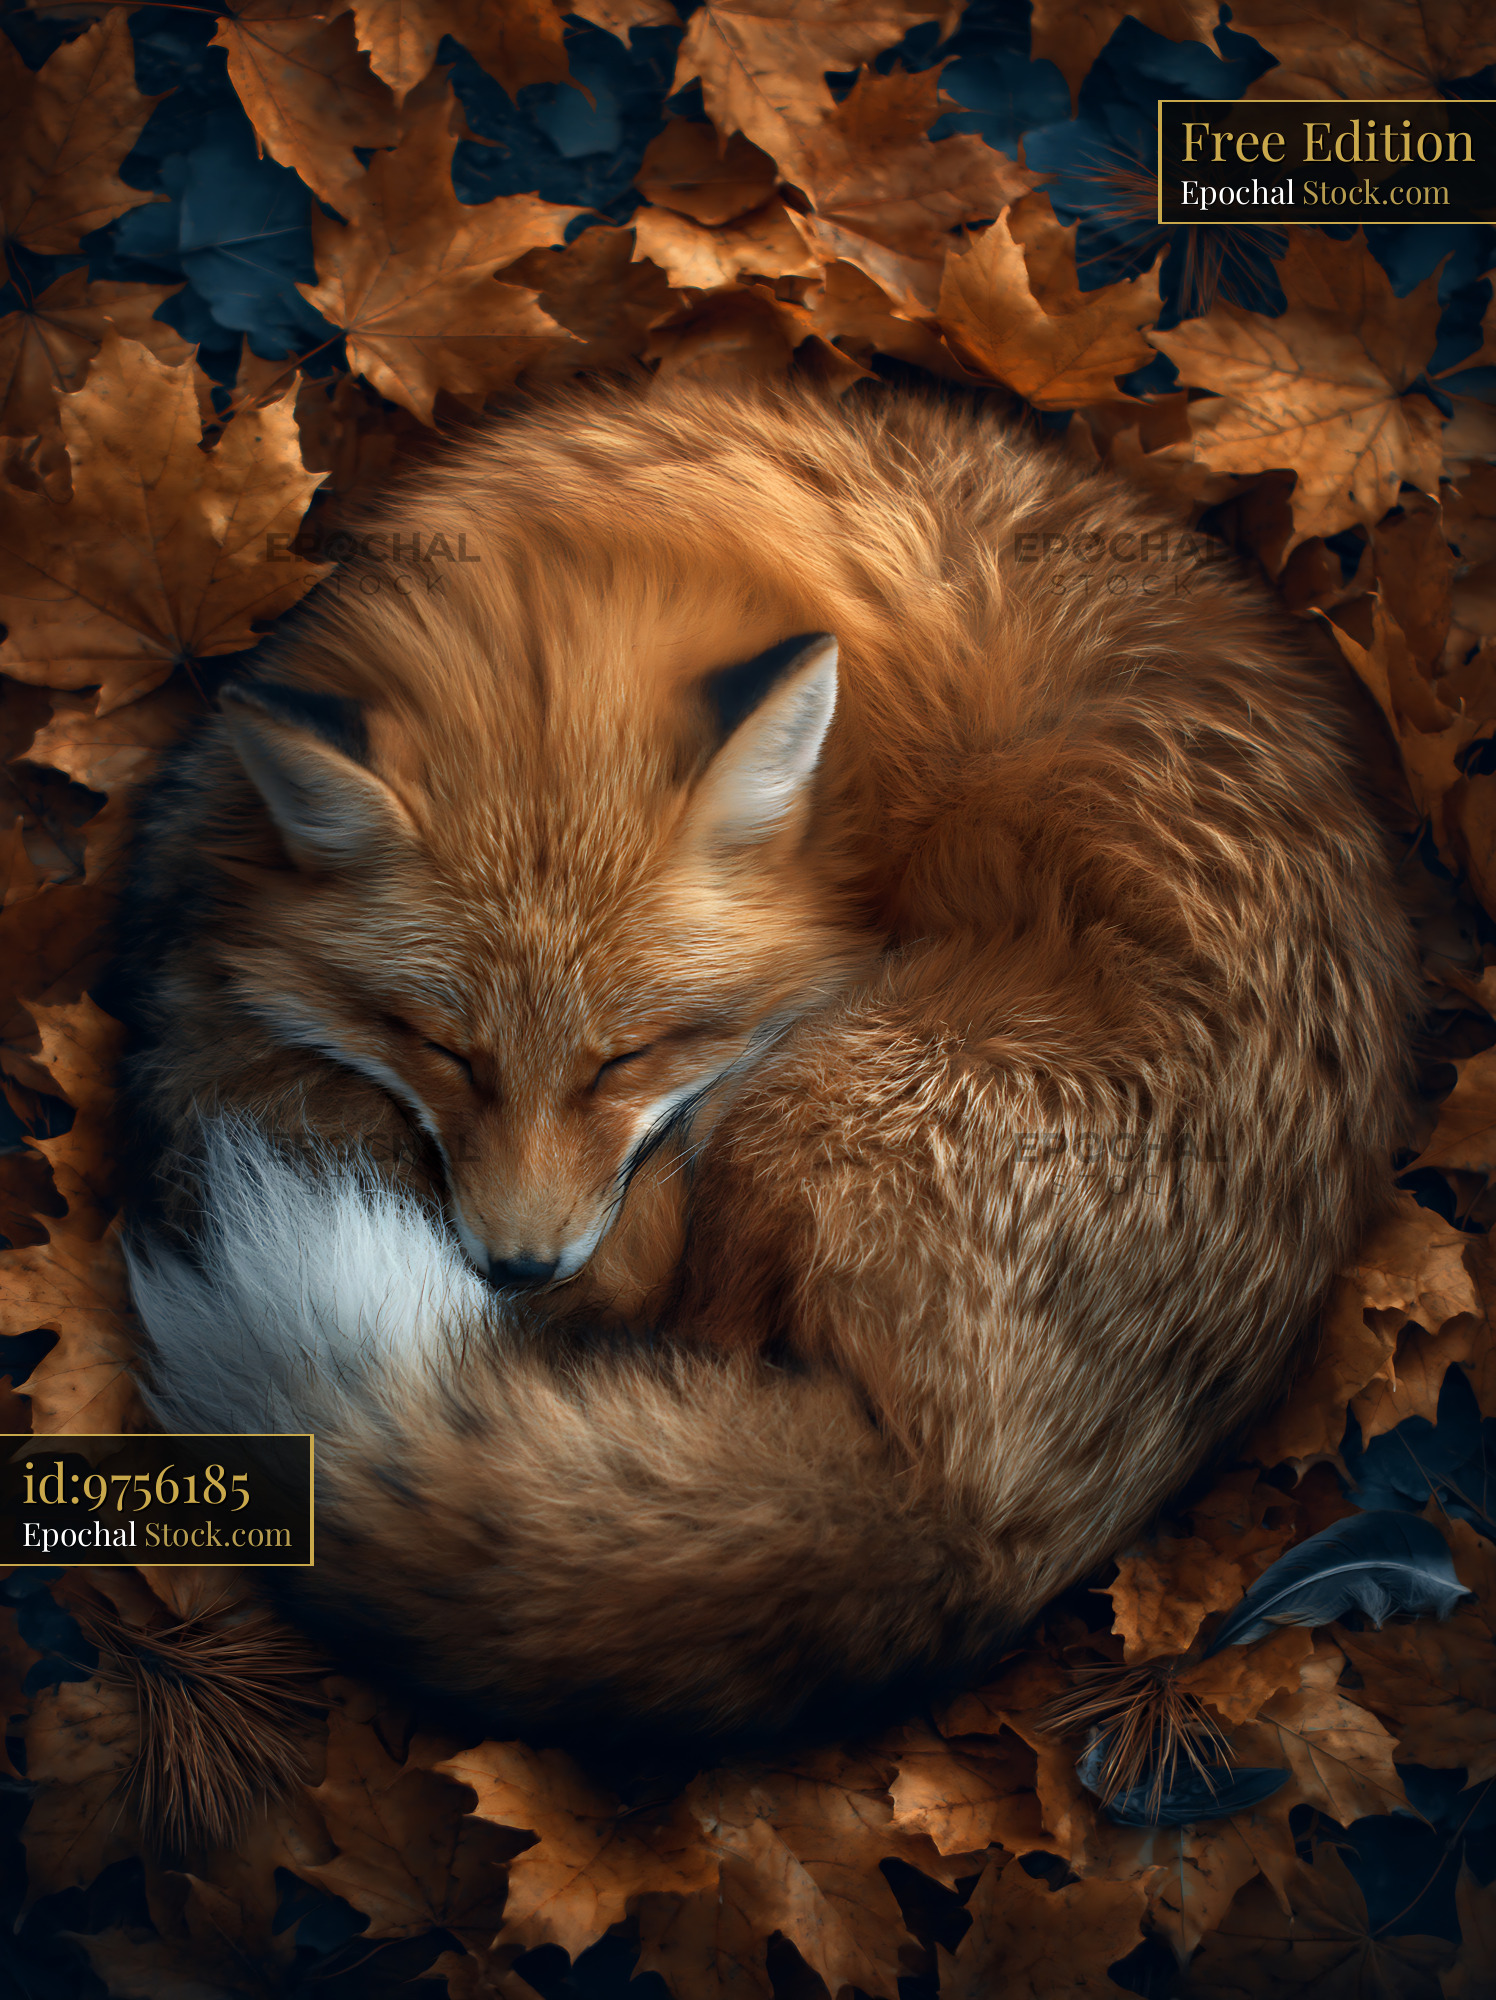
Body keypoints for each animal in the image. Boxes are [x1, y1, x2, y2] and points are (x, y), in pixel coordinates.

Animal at [114, 377, 1420, 1843]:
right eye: (444, 1048)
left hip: (829, 1088)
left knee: (701, 1325)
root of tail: (1003, 1528)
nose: (515, 1266)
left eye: (626, 1057)